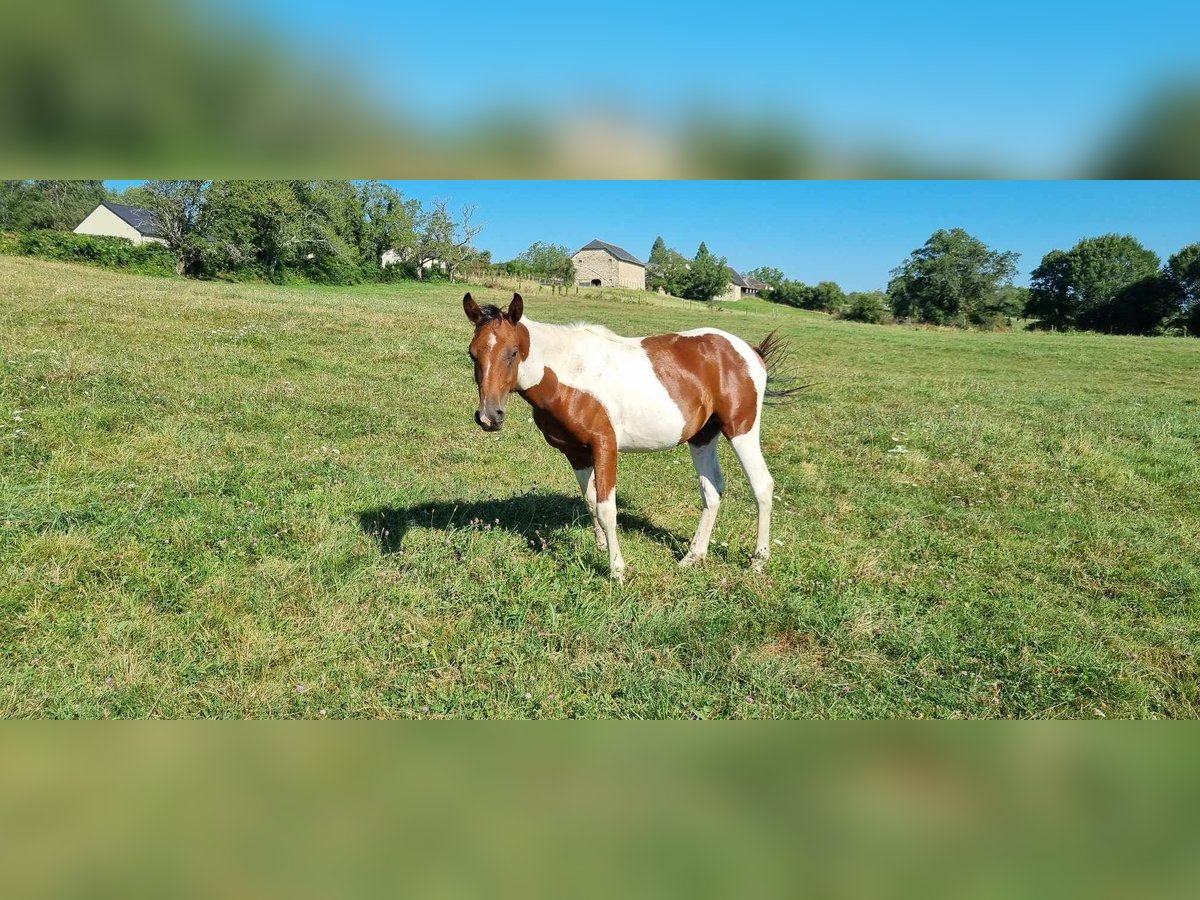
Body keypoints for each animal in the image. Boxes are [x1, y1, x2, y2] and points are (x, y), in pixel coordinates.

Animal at [463, 292, 801, 580]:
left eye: (513, 352)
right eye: (472, 354)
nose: (489, 417)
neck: (570, 373)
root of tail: (750, 351)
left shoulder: (605, 446)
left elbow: (606, 508)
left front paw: (616, 569)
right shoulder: (576, 452)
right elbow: (590, 501)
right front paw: (601, 547)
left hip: (741, 429)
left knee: (762, 486)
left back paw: (758, 561)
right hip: (703, 437)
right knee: (713, 490)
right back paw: (693, 556)